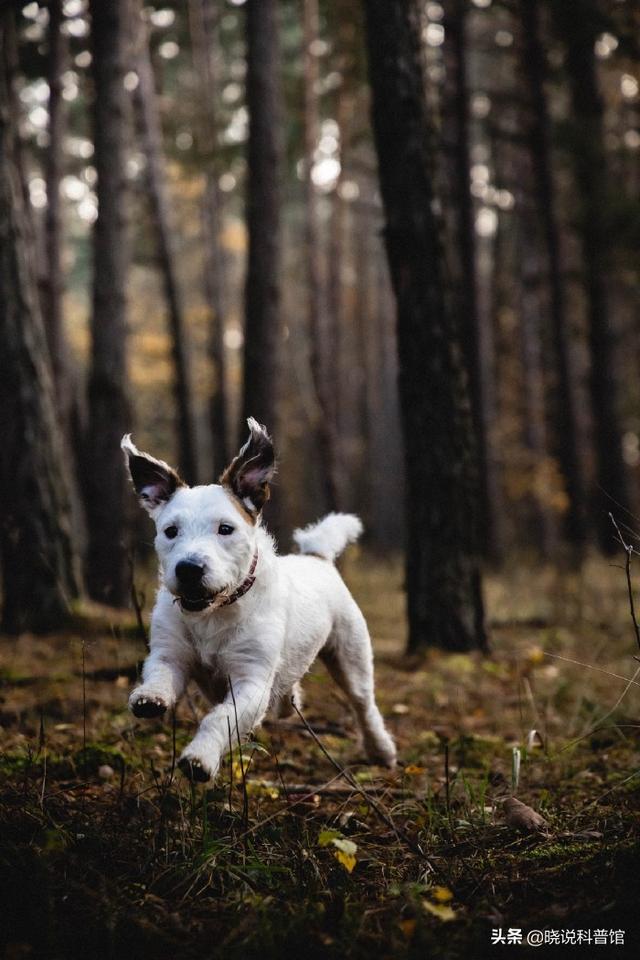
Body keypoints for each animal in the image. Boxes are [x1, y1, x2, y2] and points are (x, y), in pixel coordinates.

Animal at [121, 420, 396, 780]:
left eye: (225, 529)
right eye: (170, 531)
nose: (189, 569)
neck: (215, 613)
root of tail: (318, 557)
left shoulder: (251, 680)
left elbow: (220, 719)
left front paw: (201, 758)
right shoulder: (171, 653)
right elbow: (161, 673)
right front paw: (150, 697)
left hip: (351, 655)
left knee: (364, 704)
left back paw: (381, 748)